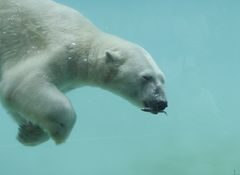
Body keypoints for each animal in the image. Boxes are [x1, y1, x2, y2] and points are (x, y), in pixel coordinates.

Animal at [0, 0, 168, 146]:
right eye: (146, 77)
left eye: (162, 80)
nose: (161, 102)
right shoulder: (52, 48)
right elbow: (22, 82)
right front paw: (58, 131)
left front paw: (29, 132)